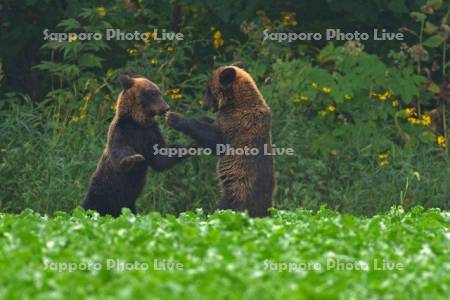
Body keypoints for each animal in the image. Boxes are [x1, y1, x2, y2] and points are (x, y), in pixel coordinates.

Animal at [83, 74, 190, 216]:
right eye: (152, 93)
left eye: (159, 92)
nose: (166, 107)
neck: (138, 121)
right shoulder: (122, 131)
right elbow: (119, 151)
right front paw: (133, 158)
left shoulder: (151, 133)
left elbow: (161, 157)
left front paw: (191, 147)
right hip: (99, 193)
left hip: (129, 206)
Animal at [166, 64, 274, 217]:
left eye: (208, 90)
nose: (204, 105)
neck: (234, 101)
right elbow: (210, 125)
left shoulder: (237, 124)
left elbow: (216, 141)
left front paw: (174, 118)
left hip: (238, 191)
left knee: (224, 208)